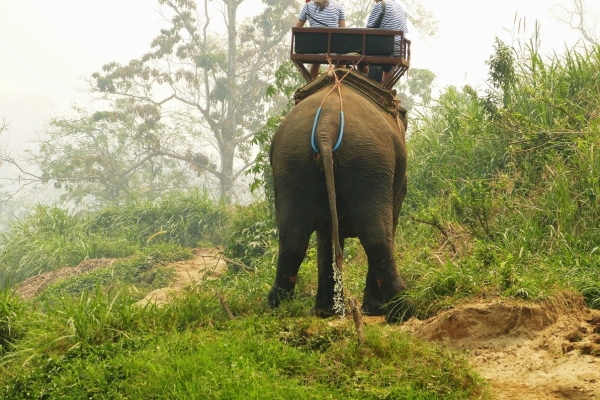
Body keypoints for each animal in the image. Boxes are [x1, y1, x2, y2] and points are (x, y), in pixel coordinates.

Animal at [270, 71, 410, 322]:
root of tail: (326, 125)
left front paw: (327, 311)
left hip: (290, 165)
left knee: (292, 238)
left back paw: (279, 307)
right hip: (370, 163)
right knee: (376, 234)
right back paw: (400, 310)